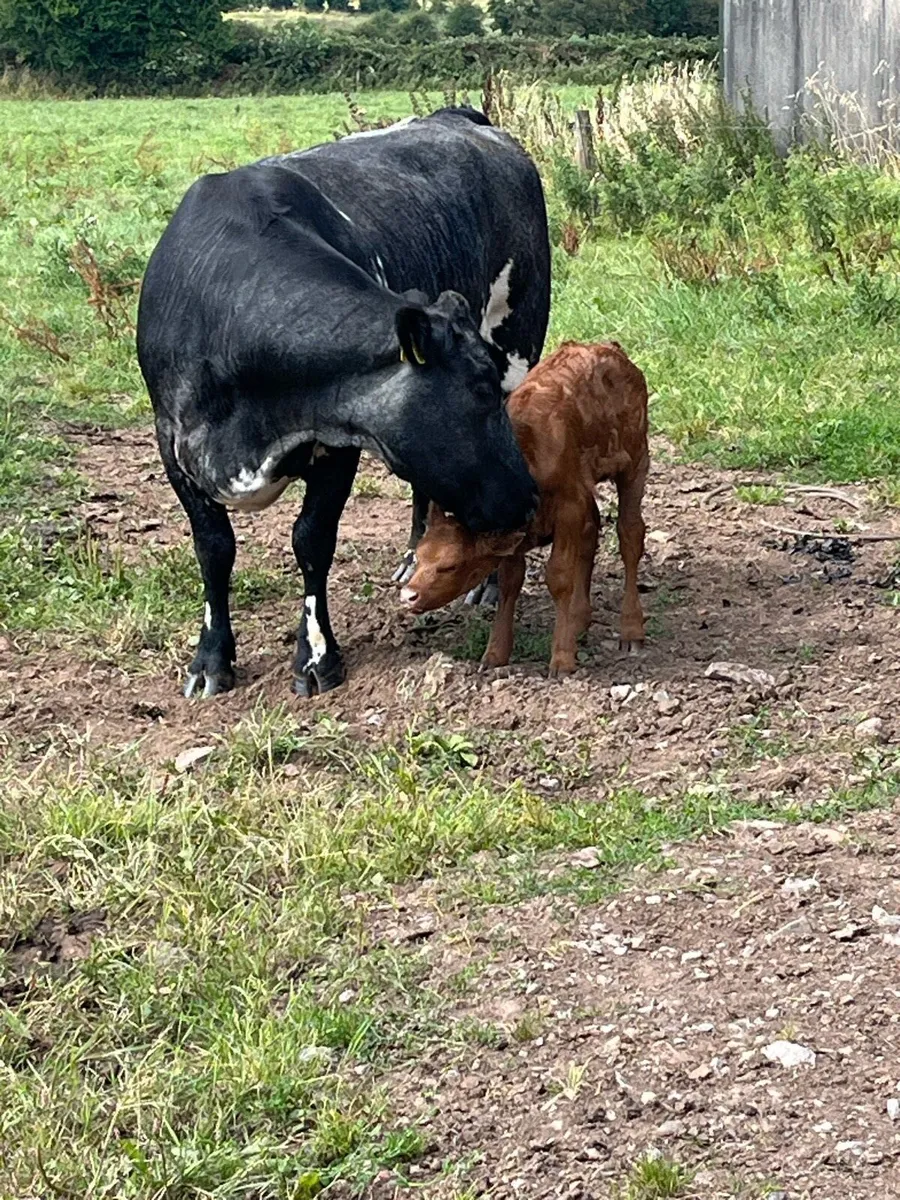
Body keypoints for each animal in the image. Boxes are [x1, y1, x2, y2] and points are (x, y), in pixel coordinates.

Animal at [136, 107, 551, 698]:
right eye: (478, 393)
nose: (527, 498)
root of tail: (457, 116)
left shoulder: (337, 443)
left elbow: (311, 540)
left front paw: (316, 656)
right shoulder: (172, 441)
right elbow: (213, 548)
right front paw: (211, 659)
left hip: (520, 337)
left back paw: (487, 583)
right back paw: (416, 557)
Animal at [400, 342, 649, 676]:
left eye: (450, 565)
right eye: (419, 557)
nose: (408, 595)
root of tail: (610, 349)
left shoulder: (569, 507)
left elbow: (559, 576)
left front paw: (561, 659)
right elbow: (510, 581)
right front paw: (495, 654)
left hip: (635, 461)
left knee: (630, 535)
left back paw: (631, 630)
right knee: (592, 531)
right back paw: (579, 620)